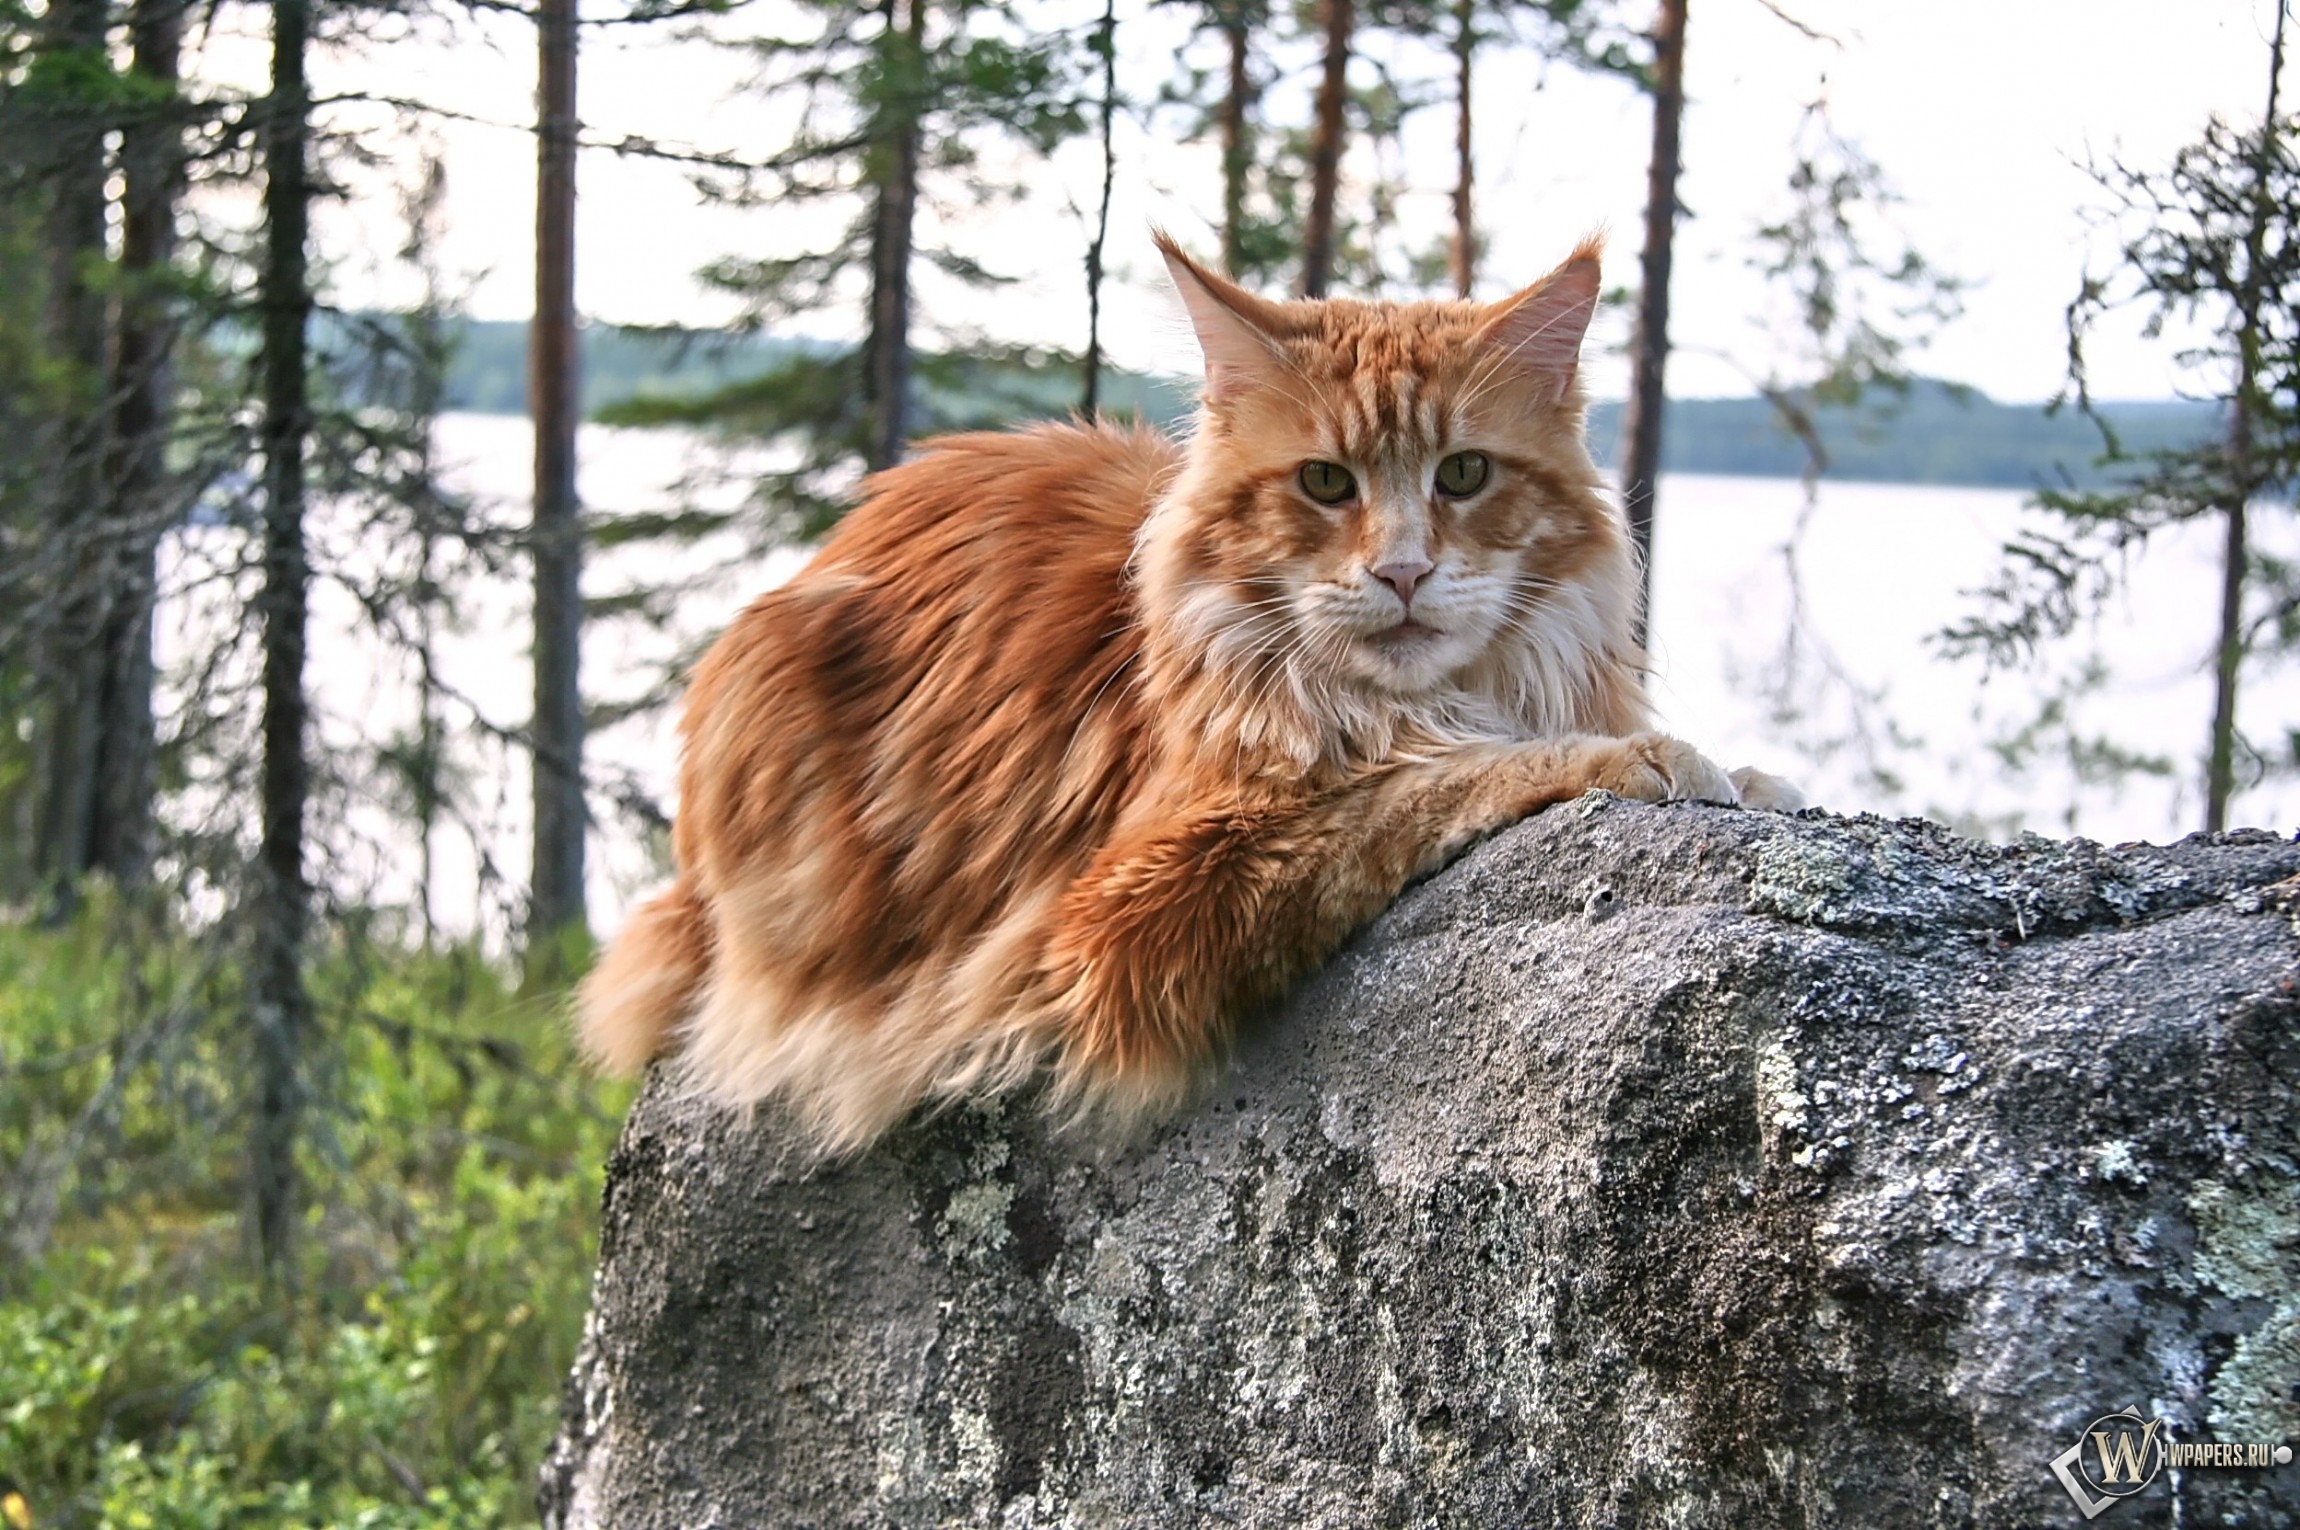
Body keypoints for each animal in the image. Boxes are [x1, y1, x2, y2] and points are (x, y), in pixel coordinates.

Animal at [579, 232, 1794, 1150]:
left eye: (1463, 474)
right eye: (1324, 483)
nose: (1402, 572)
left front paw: (1748, 773)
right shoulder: (1138, 903)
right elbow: (1437, 779)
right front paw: (1646, 759)